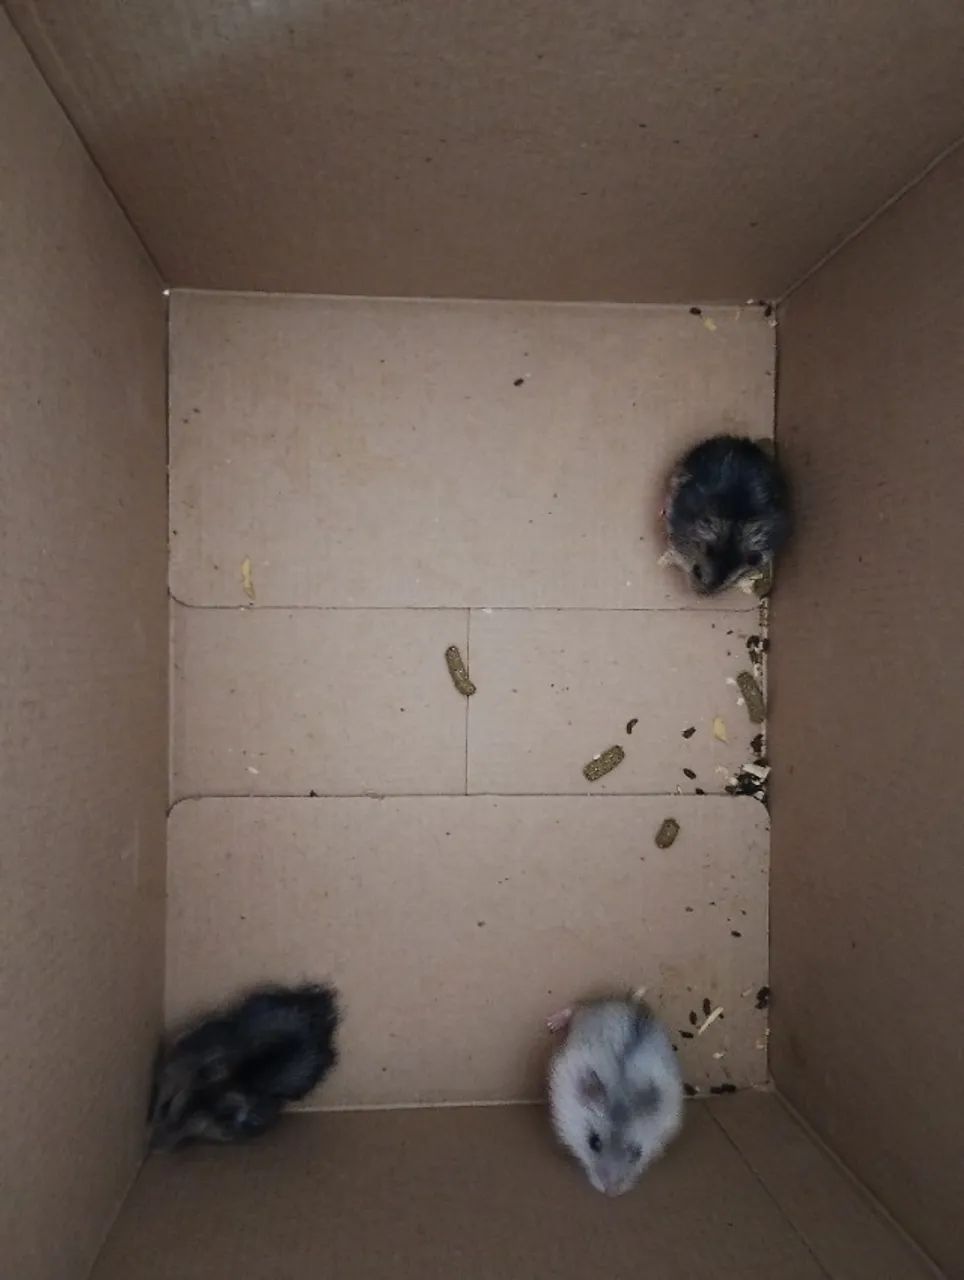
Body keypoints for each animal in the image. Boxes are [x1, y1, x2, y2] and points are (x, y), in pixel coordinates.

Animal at [547, 996, 683, 1196]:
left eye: (637, 1152)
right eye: (594, 1143)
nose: (611, 1194)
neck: (622, 1088)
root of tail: (633, 1003)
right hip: (585, 1013)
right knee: (577, 1005)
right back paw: (551, 1023)